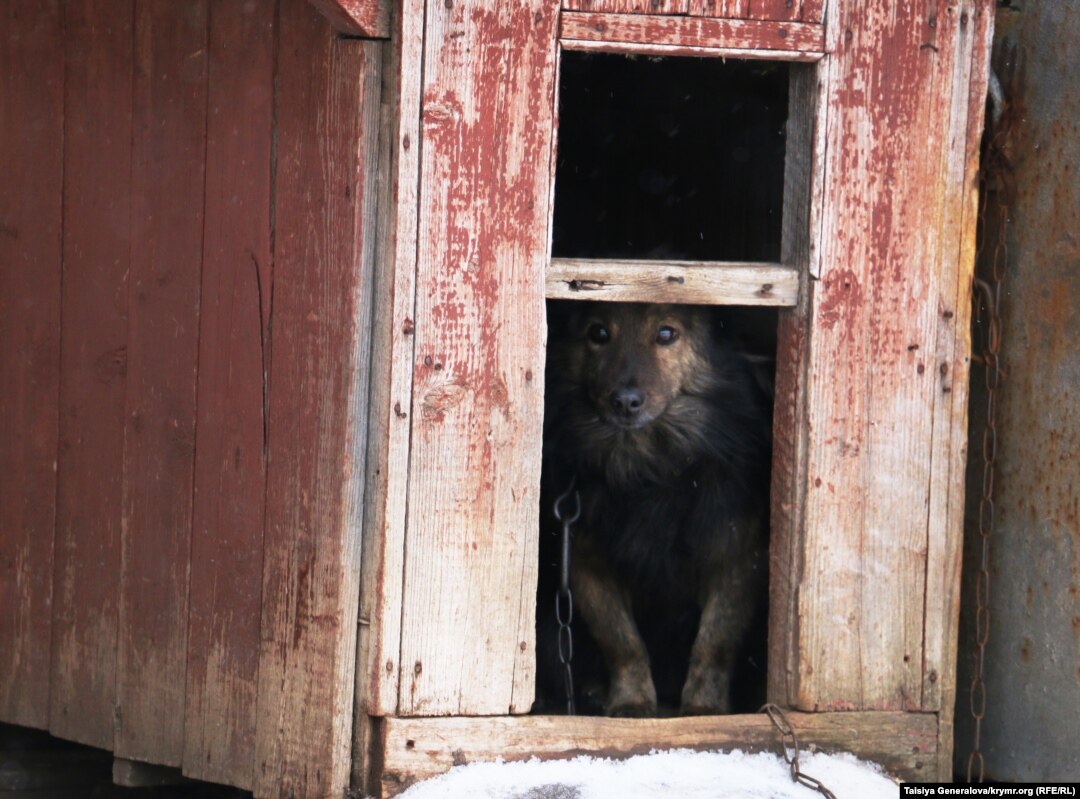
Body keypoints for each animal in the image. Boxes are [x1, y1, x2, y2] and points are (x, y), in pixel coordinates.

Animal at [540, 302, 768, 712]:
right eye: (598, 333)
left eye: (666, 333)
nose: (625, 402)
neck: (649, 467)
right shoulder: (586, 559)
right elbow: (622, 640)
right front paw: (630, 701)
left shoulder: (737, 554)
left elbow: (715, 641)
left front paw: (704, 706)